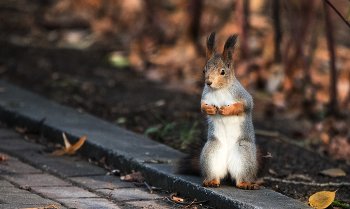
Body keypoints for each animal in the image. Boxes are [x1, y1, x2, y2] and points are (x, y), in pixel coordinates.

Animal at [178, 32, 262, 189]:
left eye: (222, 72)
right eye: (204, 70)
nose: (208, 82)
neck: (219, 90)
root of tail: (228, 170)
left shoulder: (242, 96)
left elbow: (245, 105)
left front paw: (226, 110)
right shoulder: (205, 96)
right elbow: (201, 107)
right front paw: (210, 109)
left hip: (244, 153)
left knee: (240, 177)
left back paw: (245, 184)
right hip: (211, 153)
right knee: (215, 173)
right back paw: (211, 181)